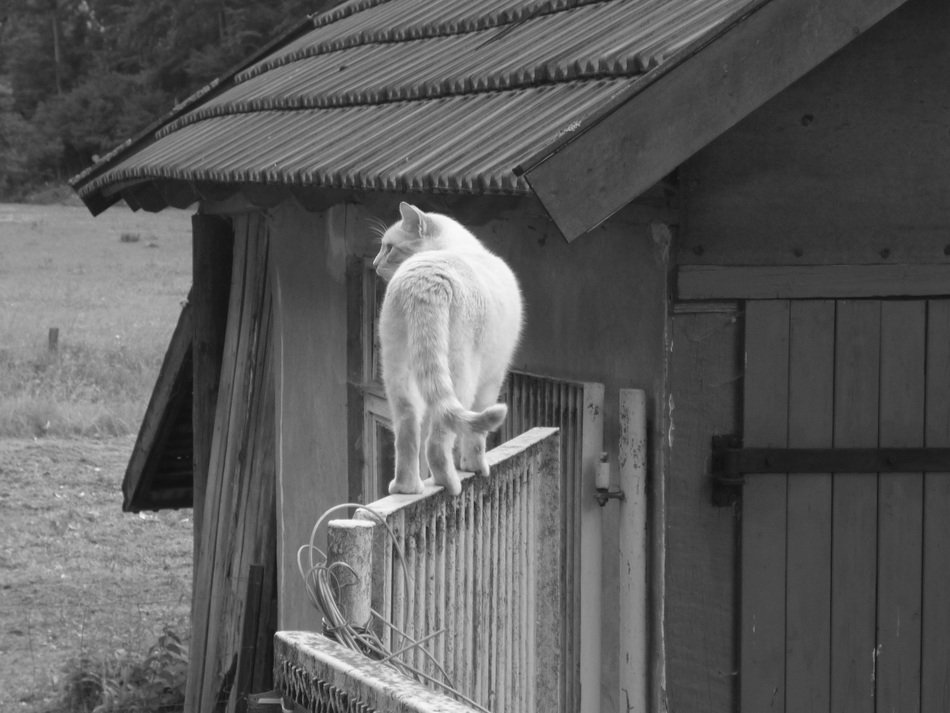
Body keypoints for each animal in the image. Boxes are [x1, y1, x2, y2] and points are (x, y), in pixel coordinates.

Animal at [374, 200, 524, 496]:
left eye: (389, 248)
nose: (374, 264)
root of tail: (425, 279)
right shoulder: (492, 380)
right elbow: (475, 438)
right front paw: (475, 467)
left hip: (397, 373)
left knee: (408, 427)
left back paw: (406, 487)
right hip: (462, 376)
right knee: (438, 440)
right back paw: (449, 483)